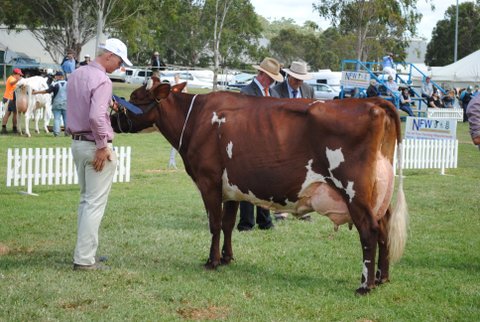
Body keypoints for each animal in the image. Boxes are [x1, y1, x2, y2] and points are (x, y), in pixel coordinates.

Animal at [112, 83, 408, 294]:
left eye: (135, 97)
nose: (112, 119)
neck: (195, 118)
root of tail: (372, 101)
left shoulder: (208, 181)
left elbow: (214, 224)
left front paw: (211, 261)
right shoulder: (230, 187)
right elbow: (228, 224)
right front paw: (227, 258)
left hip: (354, 192)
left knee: (369, 232)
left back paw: (365, 285)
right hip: (378, 195)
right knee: (384, 229)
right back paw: (383, 278)